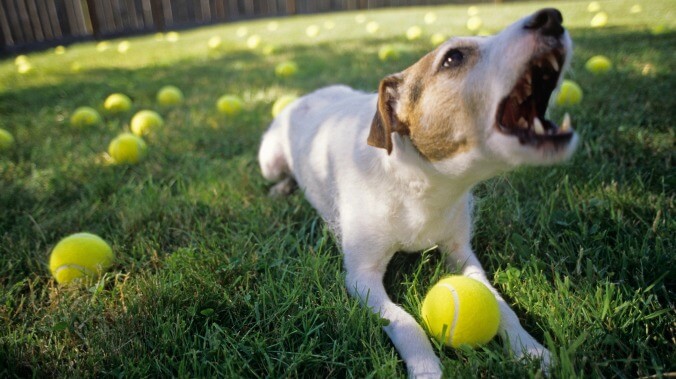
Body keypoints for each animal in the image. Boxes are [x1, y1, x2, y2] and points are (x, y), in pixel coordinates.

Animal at [258, 8, 576, 378]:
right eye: (453, 57)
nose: (551, 17)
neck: (421, 185)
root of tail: (305, 97)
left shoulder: (462, 254)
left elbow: (499, 303)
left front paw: (530, 350)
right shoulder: (362, 277)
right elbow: (405, 322)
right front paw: (427, 369)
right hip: (269, 160)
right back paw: (283, 186)